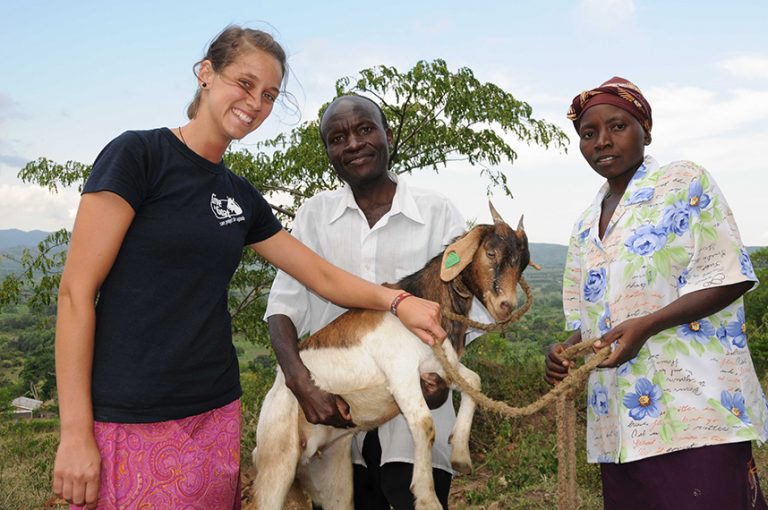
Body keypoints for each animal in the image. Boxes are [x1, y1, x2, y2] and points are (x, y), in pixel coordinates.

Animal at [255, 203, 532, 510]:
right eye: (491, 252)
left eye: (523, 263)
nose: (506, 305)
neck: (426, 300)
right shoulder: (401, 374)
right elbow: (424, 423)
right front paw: (426, 498)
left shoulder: (438, 366)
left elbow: (475, 381)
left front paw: (460, 454)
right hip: (277, 456)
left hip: (332, 472)